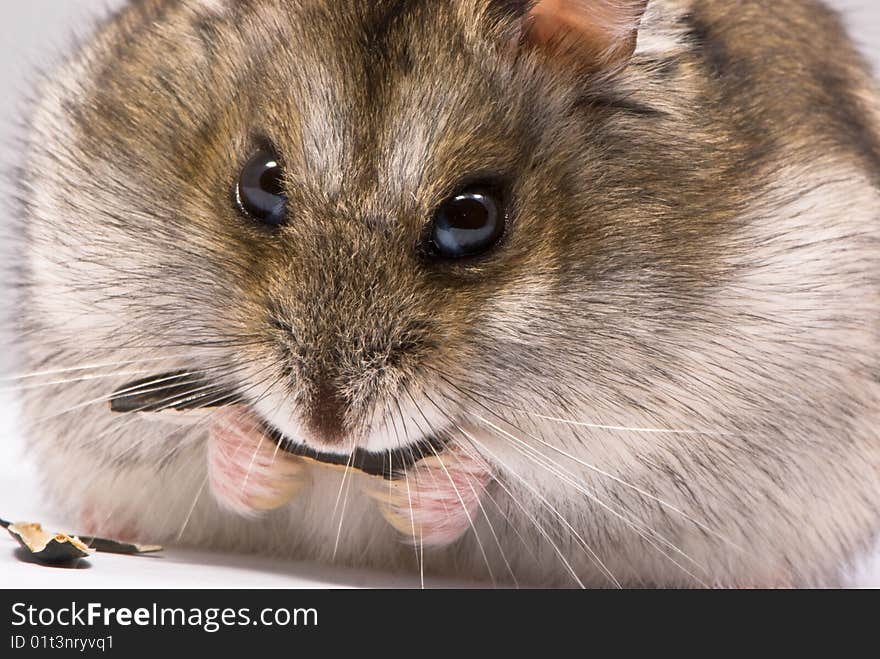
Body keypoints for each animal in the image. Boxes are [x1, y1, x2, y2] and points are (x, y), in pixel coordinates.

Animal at [10, 0, 880, 588]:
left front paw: (424, 488)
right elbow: (214, 450)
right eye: (259, 183)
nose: (325, 431)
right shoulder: (86, 321)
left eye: (472, 218)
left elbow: (486, 475)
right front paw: (260, 459)